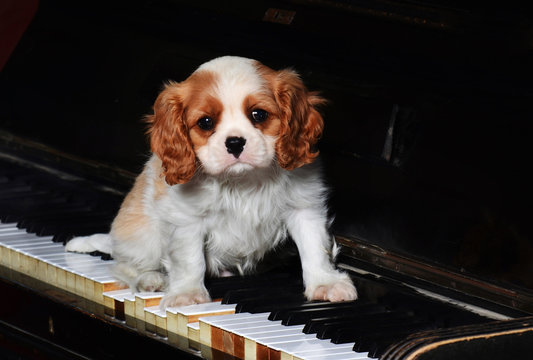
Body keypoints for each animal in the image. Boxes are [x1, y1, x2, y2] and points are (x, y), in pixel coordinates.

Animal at [67, 55, 358, 306]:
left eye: (259, 115)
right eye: (205, 122)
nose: (235, 142)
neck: (243, 181)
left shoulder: (304, 208)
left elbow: (314, 248)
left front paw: (325, 283)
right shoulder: (187, 220)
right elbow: (190, 259)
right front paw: (187, 294)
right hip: (142, 236)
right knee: (124, 266)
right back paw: (151, 278)